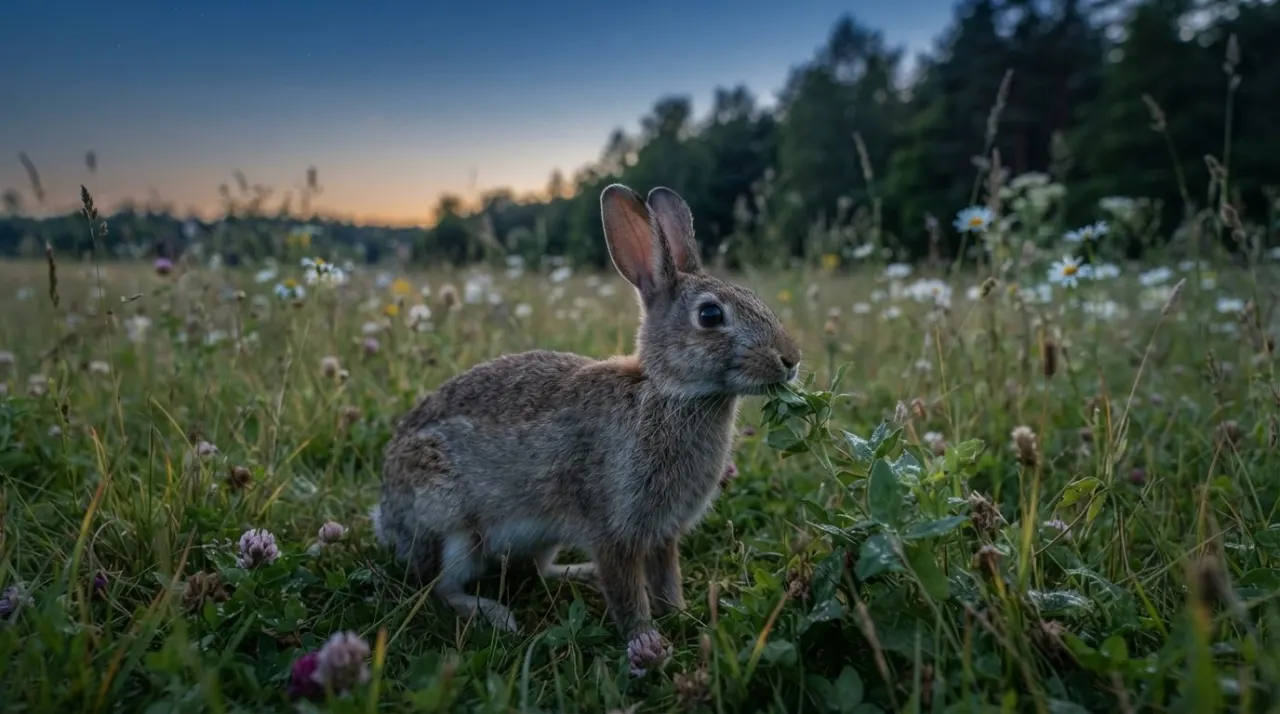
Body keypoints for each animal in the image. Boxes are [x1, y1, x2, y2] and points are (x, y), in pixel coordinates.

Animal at [373, 183, 801, 675]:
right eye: (711, 316)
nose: (791, 359)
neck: (666, 393)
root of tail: (387, 519)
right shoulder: (614, 527)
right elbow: (627, 592)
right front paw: (647, 639)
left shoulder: (662, 533)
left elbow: (666, 580)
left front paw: (681, 615)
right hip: (452, 525)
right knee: (441, 587)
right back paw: (494, 614)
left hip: (544, 535)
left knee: (538, 570)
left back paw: (578, 573)